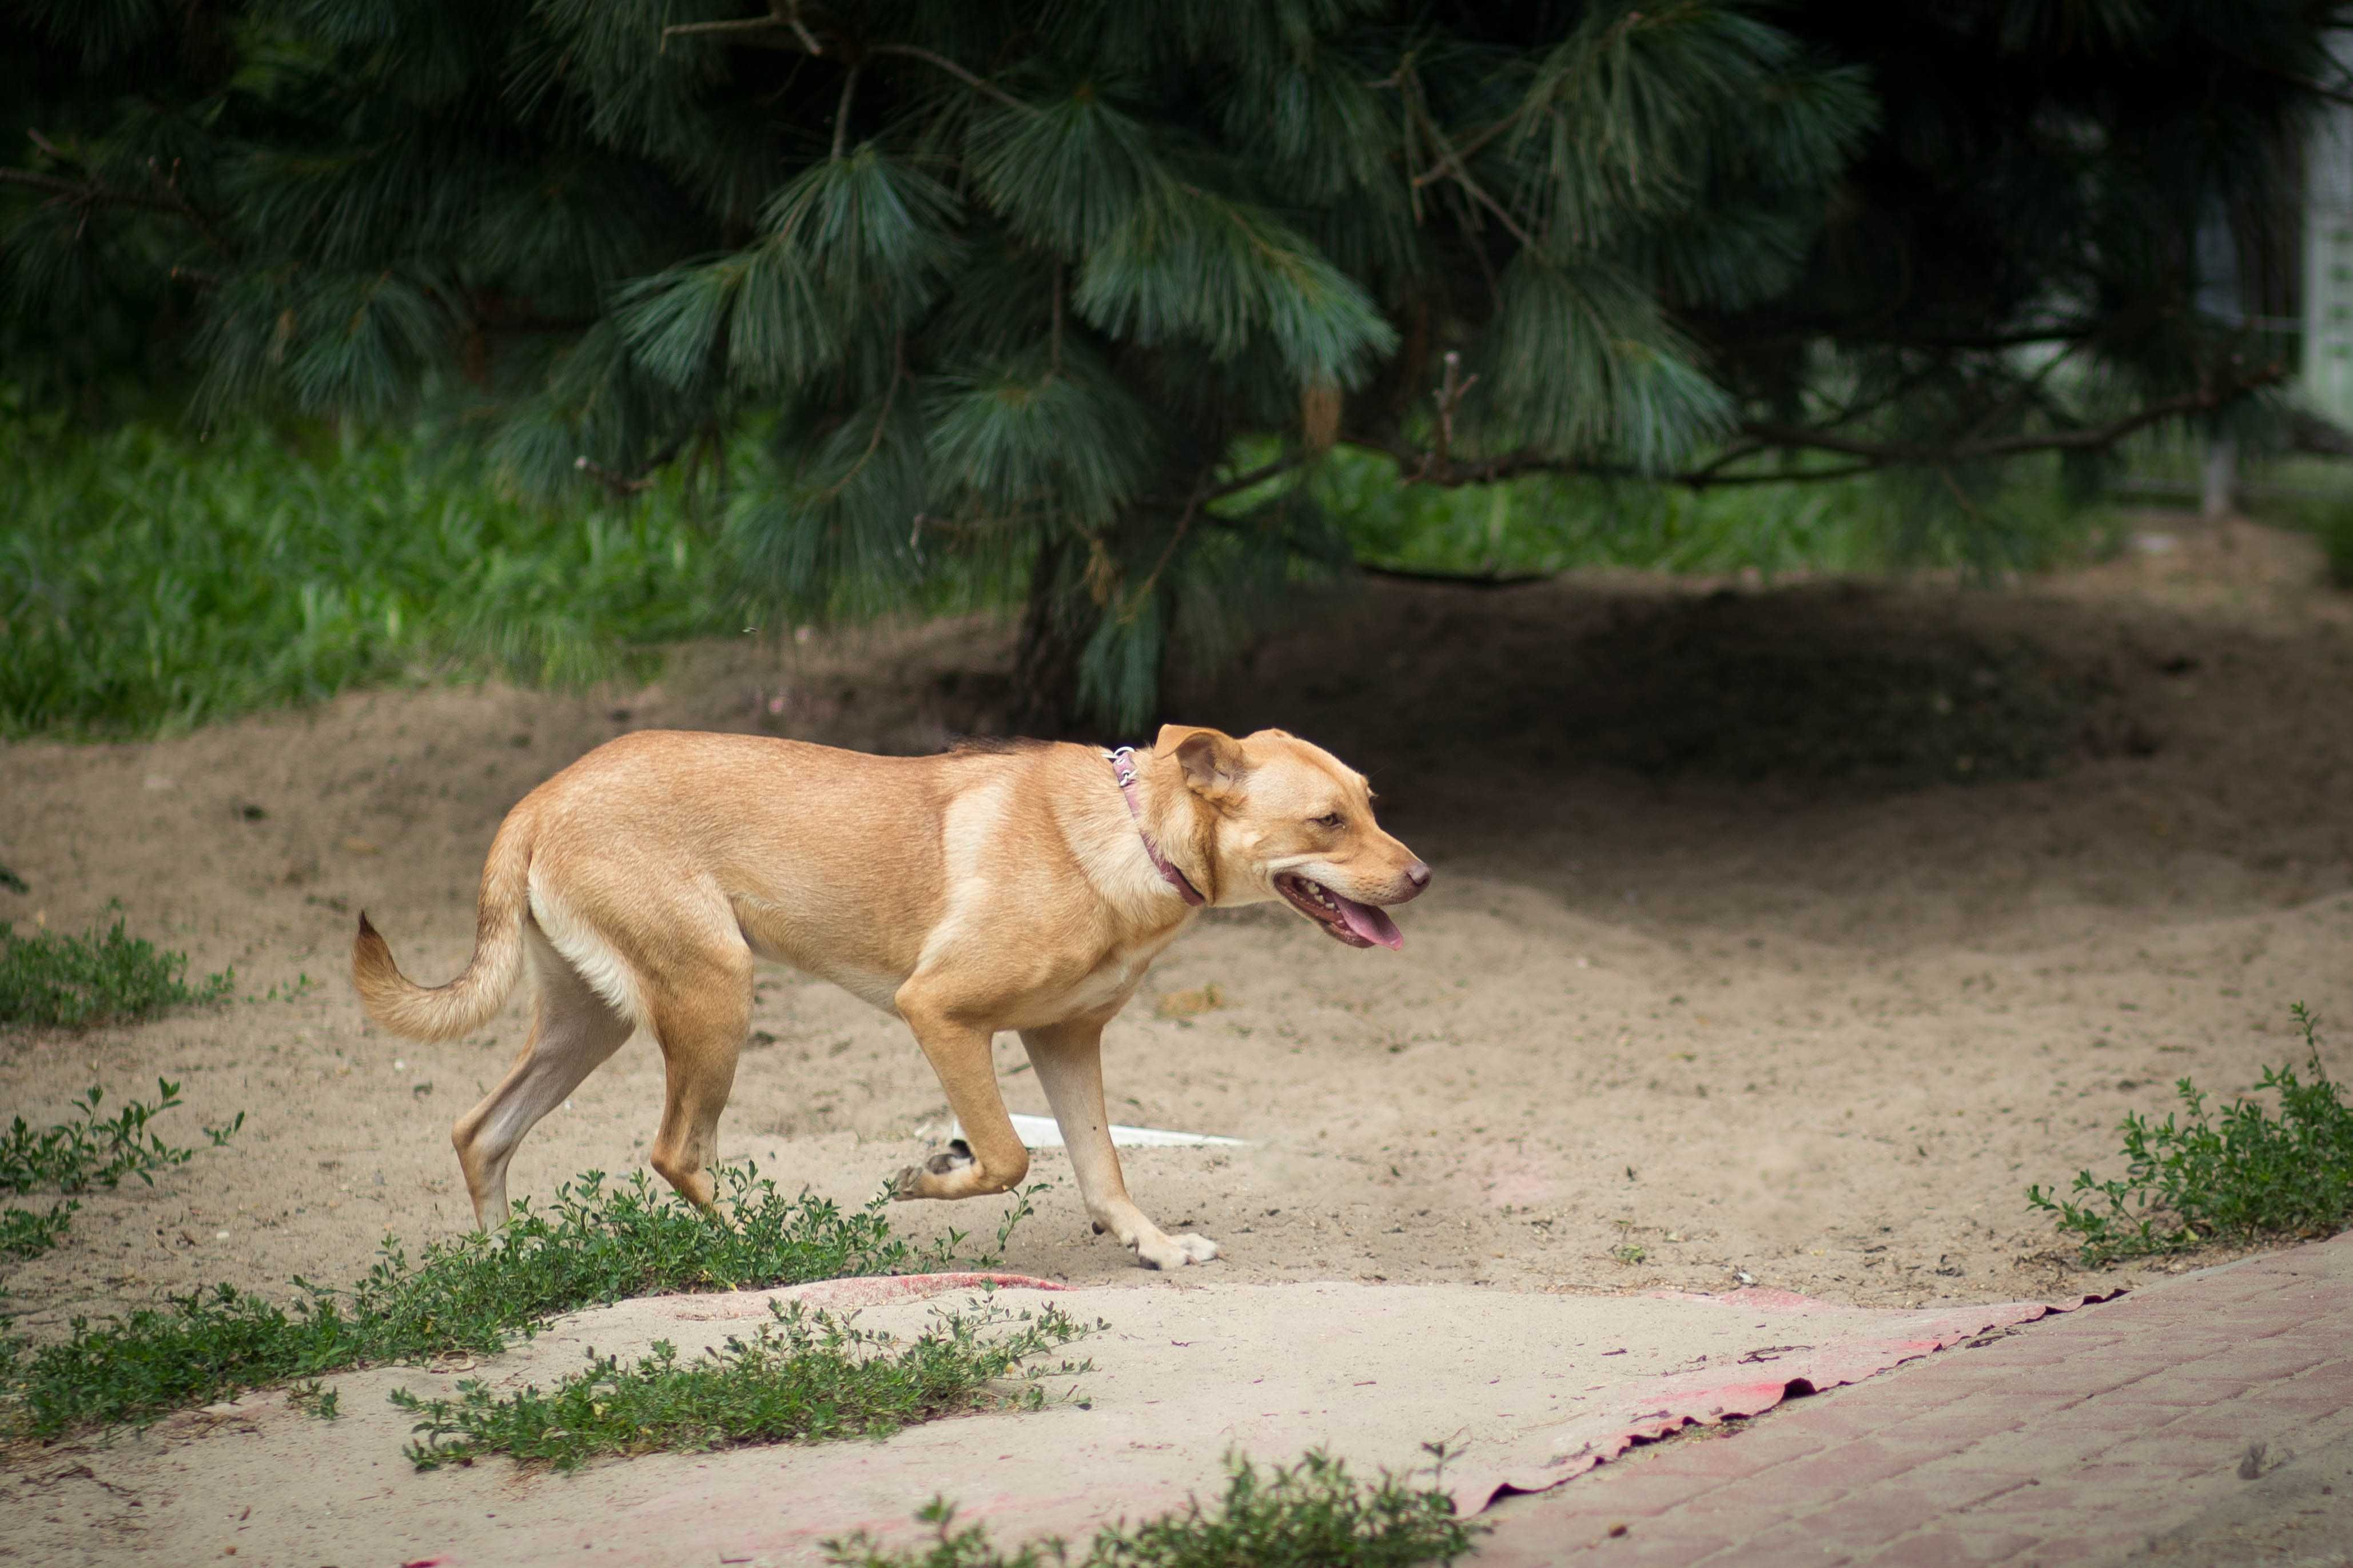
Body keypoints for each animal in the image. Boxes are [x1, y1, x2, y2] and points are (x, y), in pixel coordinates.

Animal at [345, 728, 1411, 1269]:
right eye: (1327, 819)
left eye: (1371, 800)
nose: (1424, 876)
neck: (1130, 831)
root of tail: (537, 799)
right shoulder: (939, 1013)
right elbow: (1009, 1156)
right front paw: (924, 1180)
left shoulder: (1067, 1040)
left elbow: (1102, 1167)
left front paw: (1148, 1243)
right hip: (715, 997)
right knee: (677, 1152)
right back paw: (772, 1249)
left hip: (591, 1022)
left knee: (482, 1131)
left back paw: (509, 1264)